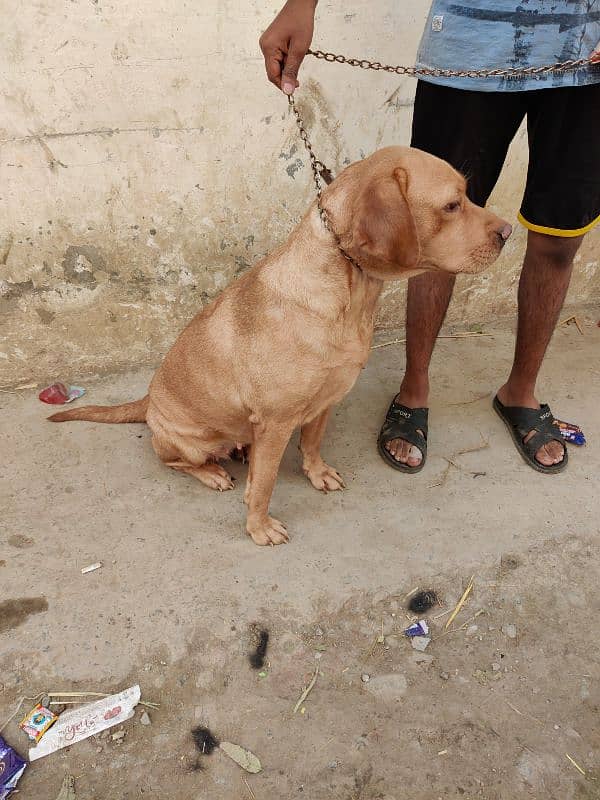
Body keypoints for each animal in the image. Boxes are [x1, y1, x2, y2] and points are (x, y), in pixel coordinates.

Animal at [50, 145, 510, 544]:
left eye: (467, 195)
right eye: (452, 205)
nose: (508, 231)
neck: (349, 293)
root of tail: (148, 401)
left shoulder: (326, 401)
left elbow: (312, 444)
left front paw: (316, 472)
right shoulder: (275, 422)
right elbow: (267, 484)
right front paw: (258, 526)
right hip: (189, 442)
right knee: (177, 461)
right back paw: (213, 472)